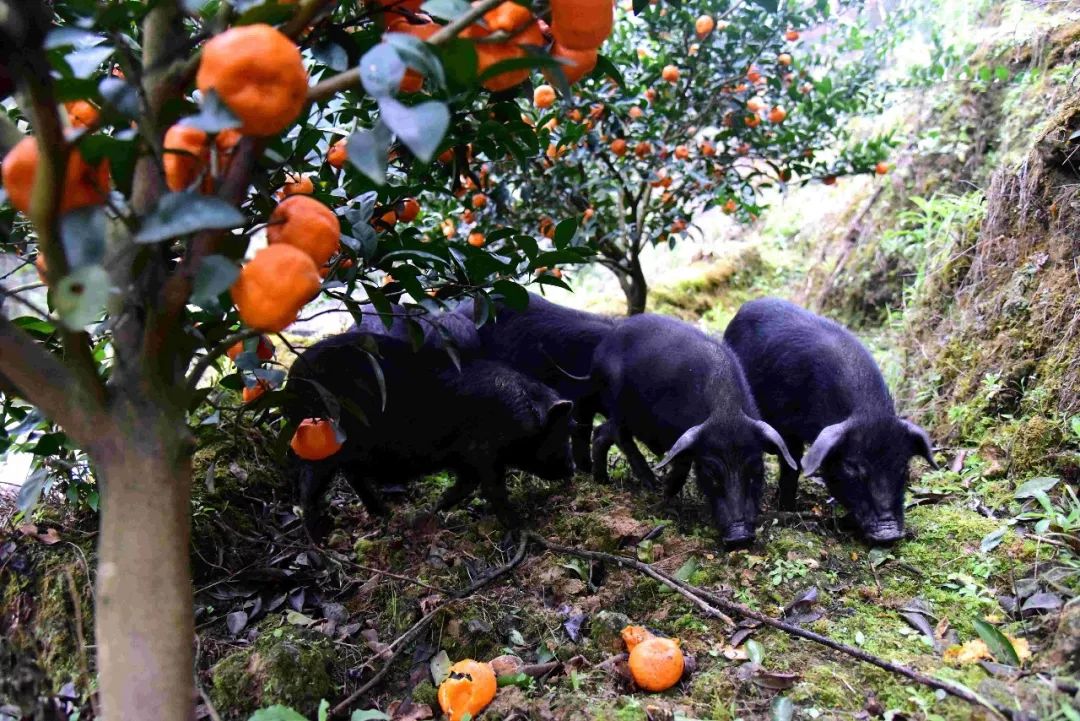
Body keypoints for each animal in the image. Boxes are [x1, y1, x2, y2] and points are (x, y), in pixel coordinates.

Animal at [285, 332, 574, 535]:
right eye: (563, 431)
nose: (572, 470)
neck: (522, 414)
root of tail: (292, 378)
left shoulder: (466, 460)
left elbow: (463, 486)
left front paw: (429, 513)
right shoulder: (484, 452)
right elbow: (493, 489)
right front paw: (519, 526)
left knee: (351, 476)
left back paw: (383, 514)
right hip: (324, 440)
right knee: (310, 484)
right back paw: (318, 531)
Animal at [591, 315, 794, 546]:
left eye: (756, 470)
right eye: (711, 473)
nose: (740, 536)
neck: (726, 411)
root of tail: (604, 343)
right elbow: (681, 465)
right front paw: (664, 496)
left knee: (600, 433)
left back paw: (602, 480)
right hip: (617, 404)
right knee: (616, 434)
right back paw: (650, 483)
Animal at [725, 295, 937, 543]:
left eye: (903, 467)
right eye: (852, 468)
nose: (889, 533)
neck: (869, 410)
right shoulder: (786, 425)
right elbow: (792, 465)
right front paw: (787, 509)